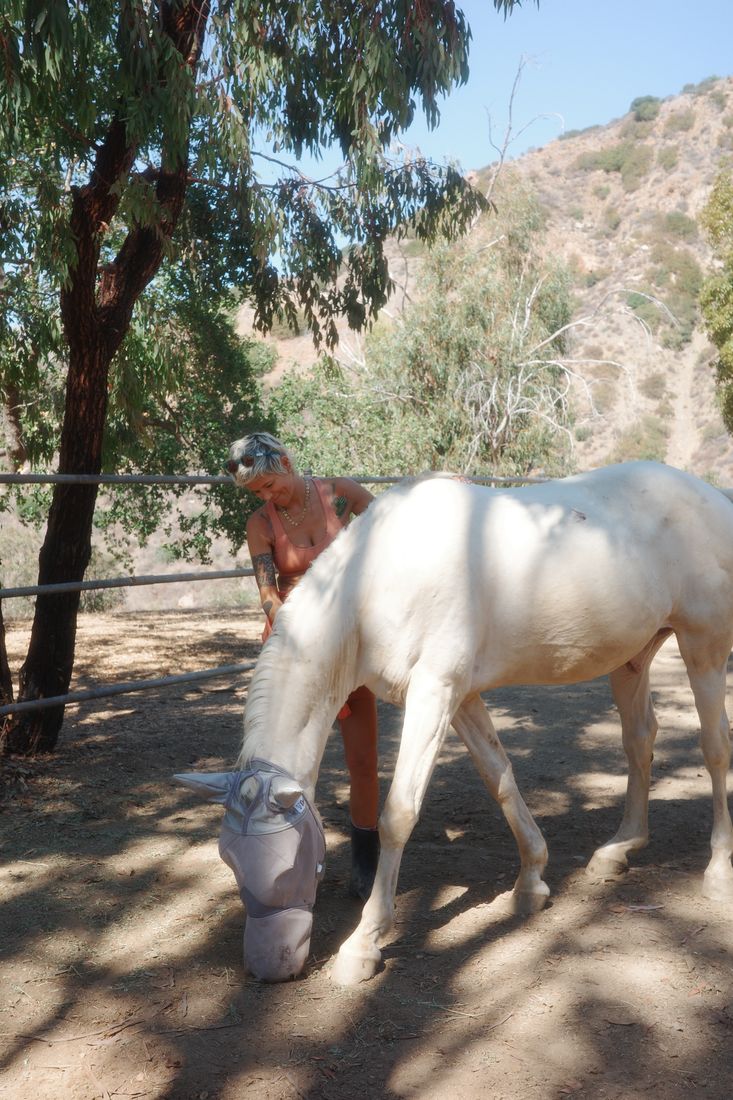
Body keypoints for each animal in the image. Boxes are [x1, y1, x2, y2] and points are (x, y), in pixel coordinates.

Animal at [178, 461, 733, 985]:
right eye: (229, 860)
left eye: (290, 865)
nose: (268, 968)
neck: (373, 581)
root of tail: (713, 496)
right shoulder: (460, 697)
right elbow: (500, 778)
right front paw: (531, 882)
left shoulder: (434, 693)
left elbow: (399, 814)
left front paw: (363, 944)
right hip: (632, 659)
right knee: (639, 742)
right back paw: (619, 849)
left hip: (703, 648)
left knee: (715, 748)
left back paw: (717, 873)